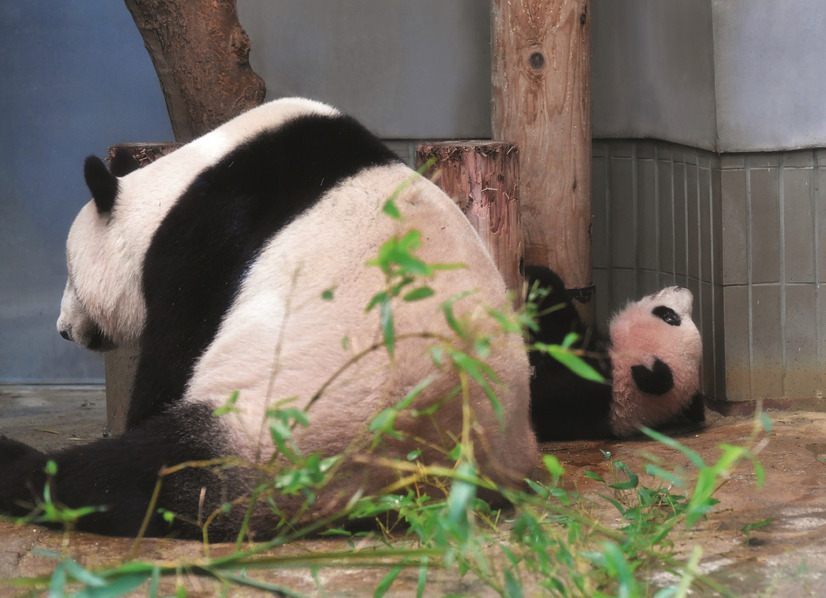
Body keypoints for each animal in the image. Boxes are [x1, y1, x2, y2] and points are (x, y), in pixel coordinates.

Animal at [0, 99, 536, 544]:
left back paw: (18, 463)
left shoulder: (202, 247)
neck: (175, 187)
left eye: (71, 276)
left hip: (270, 433)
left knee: (135, 475)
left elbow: (172, 360)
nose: (64, 329)